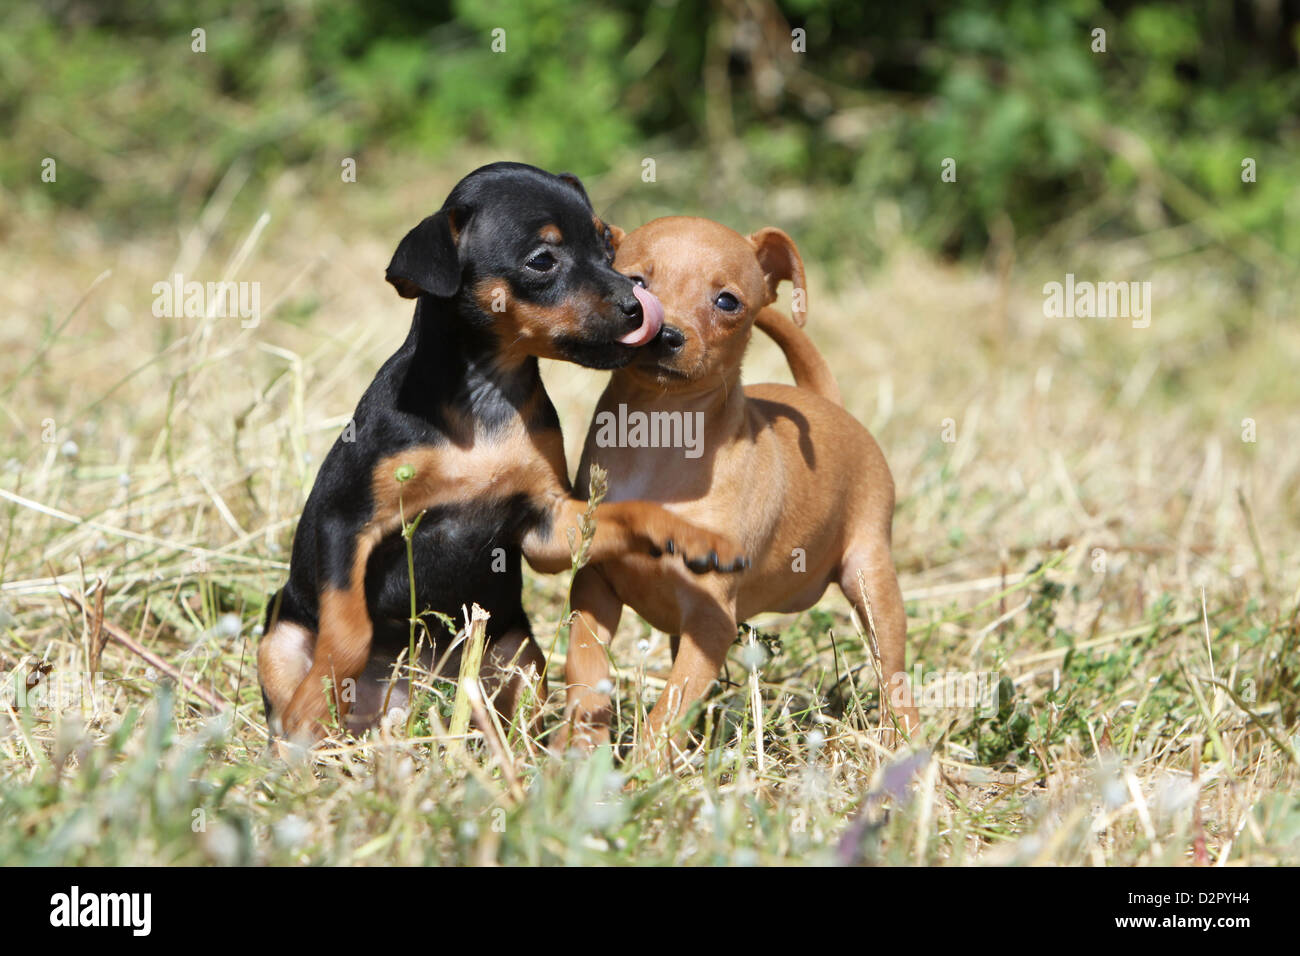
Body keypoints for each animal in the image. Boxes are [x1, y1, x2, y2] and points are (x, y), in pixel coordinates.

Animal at [258, 167, 748, 743]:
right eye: (542, 261)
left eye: (607, 246)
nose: (639, 309)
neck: (487, 396)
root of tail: (409, 699)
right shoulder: (347, 522)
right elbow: (348, 632)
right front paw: (312, 706)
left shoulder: (546, 525)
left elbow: (631, 512)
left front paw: (693, 536)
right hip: (280, 639)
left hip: (519, 654)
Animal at [564, 217, 920, 754]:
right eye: (635, 284)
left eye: (727, 301)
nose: (663, 333)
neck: (660, 435)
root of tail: (829, 404)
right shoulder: (595, 585)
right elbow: (585, 668)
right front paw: (579, 749)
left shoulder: (711, 621)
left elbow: (666, 713)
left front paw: (643, 766)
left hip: (870, 574)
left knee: (893, 670)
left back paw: (901, 741)